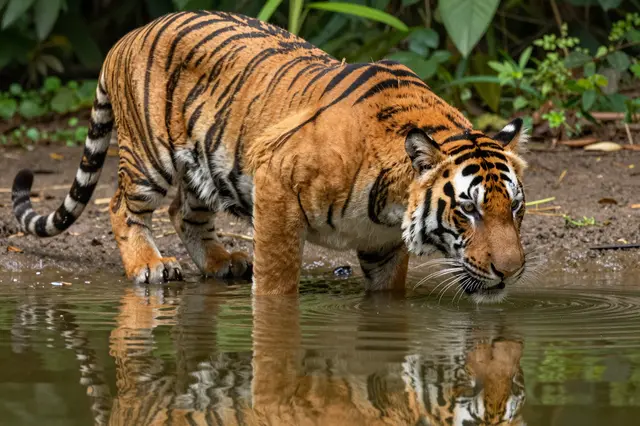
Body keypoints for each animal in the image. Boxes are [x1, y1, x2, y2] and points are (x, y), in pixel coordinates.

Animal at [11, 10, 528, 301]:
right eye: (467, 210)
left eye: (517, 209)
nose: (511, 271)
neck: (393, 203)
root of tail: (129, 35)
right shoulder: (275, 183)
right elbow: (278, 283)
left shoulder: (383, 245)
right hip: (148, 158)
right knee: (122, 206)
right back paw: (149, 266)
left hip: (203, 163)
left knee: (184, 212)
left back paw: (222, 261)